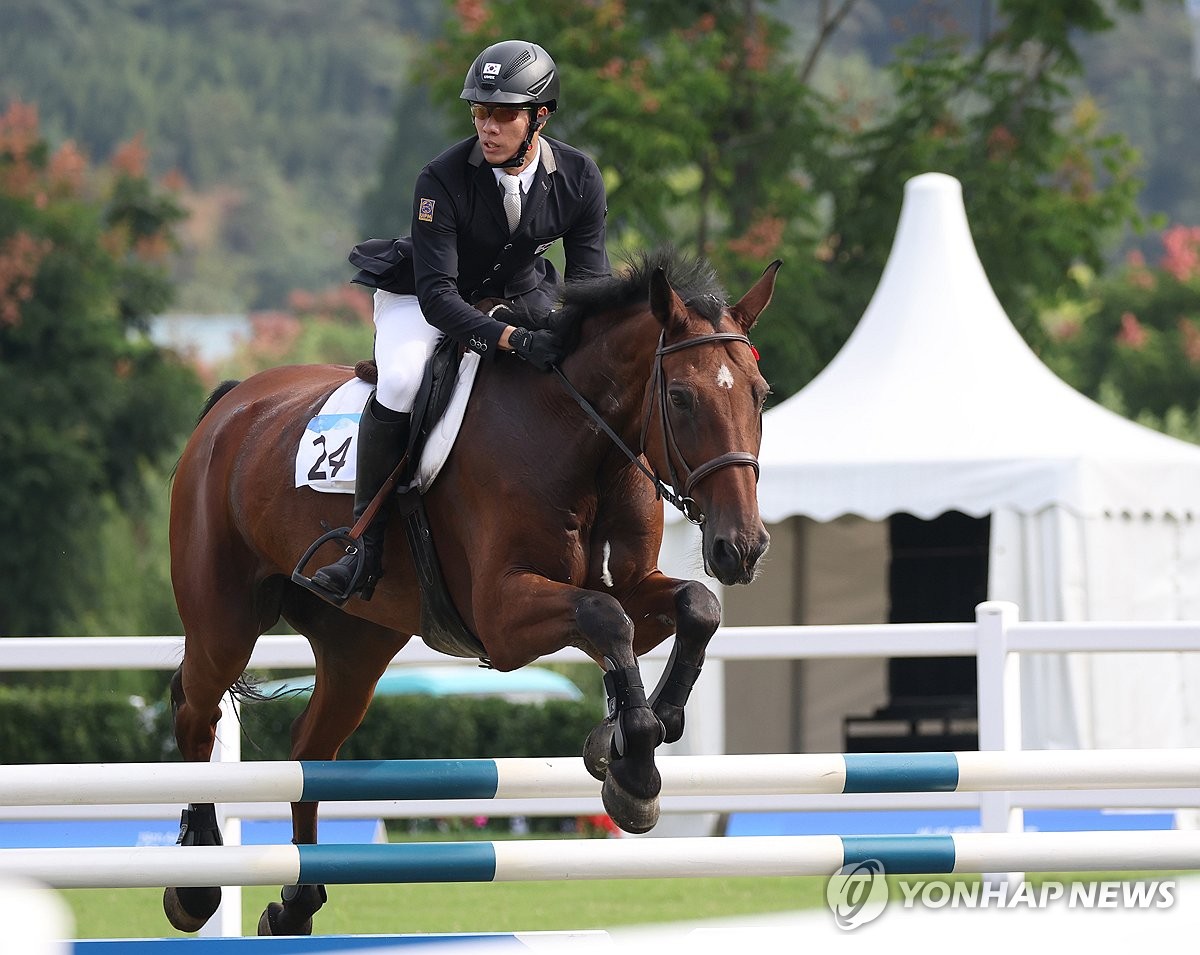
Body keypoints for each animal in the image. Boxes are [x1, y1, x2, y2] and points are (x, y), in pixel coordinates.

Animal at [164, 249, 777, 935]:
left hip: (357, 644)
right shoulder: (503, 616)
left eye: (760, 395)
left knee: (309, 749)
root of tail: (231, 403)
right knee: (197, 713)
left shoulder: (634, 588)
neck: (583, 439)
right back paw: (195, 882)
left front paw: (632, 736)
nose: (741, 547)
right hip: (224, 622)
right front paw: (633, 769)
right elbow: (606, 618)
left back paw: (296, 903)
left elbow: (695, 606)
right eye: (679, 397)